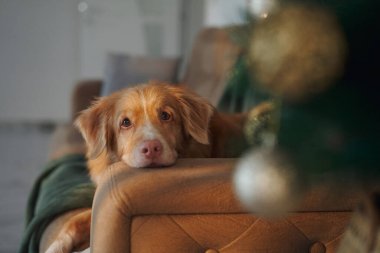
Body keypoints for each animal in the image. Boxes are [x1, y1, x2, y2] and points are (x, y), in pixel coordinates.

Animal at [45, 83, 252, 253]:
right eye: (125, 122)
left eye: (165, 116)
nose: (151, 148)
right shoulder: (99, 203)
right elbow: (74, 221)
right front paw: (55, 247)